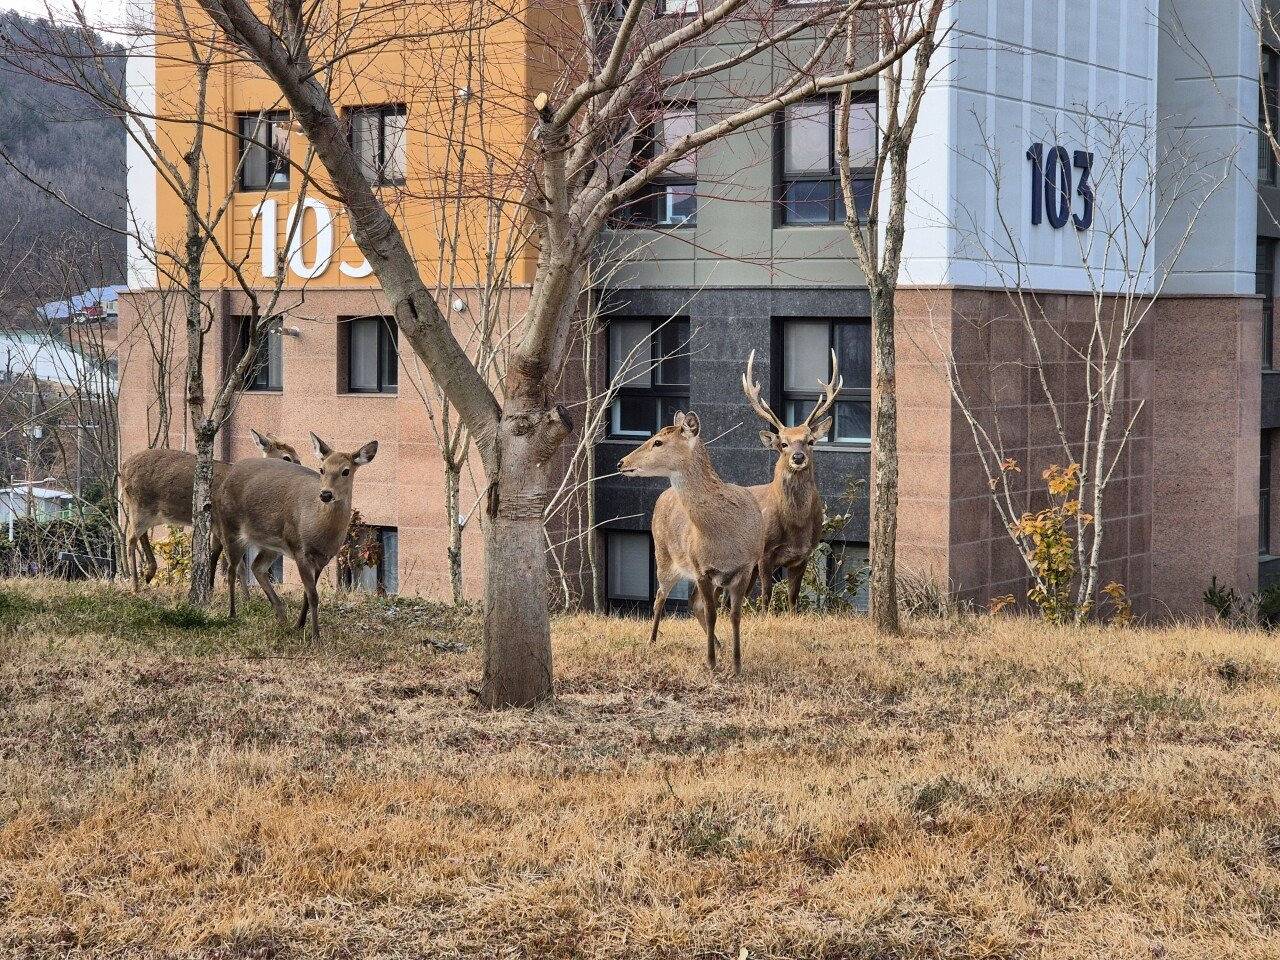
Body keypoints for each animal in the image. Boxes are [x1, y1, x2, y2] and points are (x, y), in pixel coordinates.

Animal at [119, 430, 300, 593]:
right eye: (287, 457)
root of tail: (123, 468)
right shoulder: (221, 524)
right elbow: (236, 563)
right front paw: (245, 598)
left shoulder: (216, 526)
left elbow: (215, 554)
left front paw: (213, 589)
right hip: (140, 505)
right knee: (130, 538)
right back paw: (135, 585)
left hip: (146, 510)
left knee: (139, 535)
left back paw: (149, 574)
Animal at [212, 435, 373, 640]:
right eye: (322, 469)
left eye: (346, 471)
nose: (326, 494)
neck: (319, 528)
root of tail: (230, 473)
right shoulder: (299, 549)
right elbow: (313, 595)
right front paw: (315, 636)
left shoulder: (323, 558)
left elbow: (307, 593)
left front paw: (299, 625)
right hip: (230, 526)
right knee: (232, 570)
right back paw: (232, 613)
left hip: (272, 544)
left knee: (257, 567)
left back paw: (281, 616)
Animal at [616, 414, 757, 675]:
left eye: (658, 442)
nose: (621, 463)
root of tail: (663, 494)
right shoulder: (701, 568)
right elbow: (712, 613)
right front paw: (711, 663)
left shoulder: (746, 566)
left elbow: (734, 614)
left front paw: (736, 665)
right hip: (663, 555)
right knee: (660, 597)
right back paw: (652, 640)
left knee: (693, 602)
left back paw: (719, 644)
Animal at [742, 350, 839, 611]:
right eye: (783, 443)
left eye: (810, 441)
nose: (798, 457)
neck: (794, 526)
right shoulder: (764, 553)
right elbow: (766, 596)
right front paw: (765, 617)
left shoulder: (802, 555)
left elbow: (793, 598)